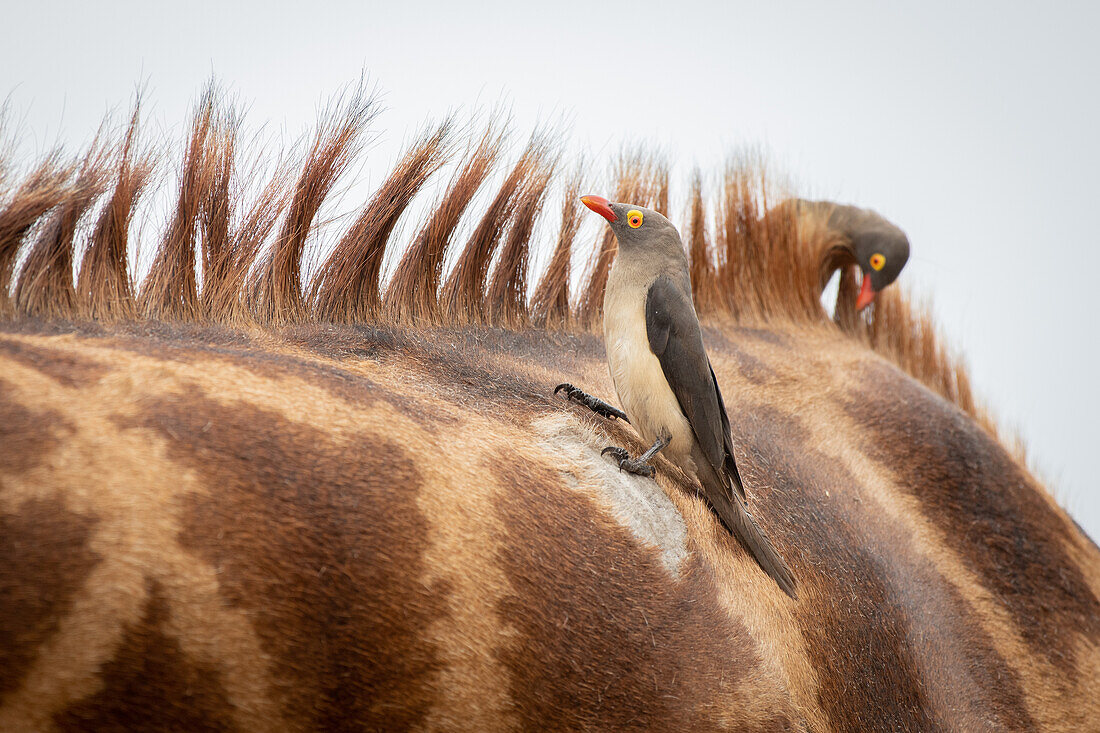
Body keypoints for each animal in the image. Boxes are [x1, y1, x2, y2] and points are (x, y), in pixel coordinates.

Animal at [0, 84, 1095, 726]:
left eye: (638, 213)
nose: (602, 202)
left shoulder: (667, 356)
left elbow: (662, 420)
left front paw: (627, 444)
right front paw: (589, 400)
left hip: (703, 442)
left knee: (686, 449)